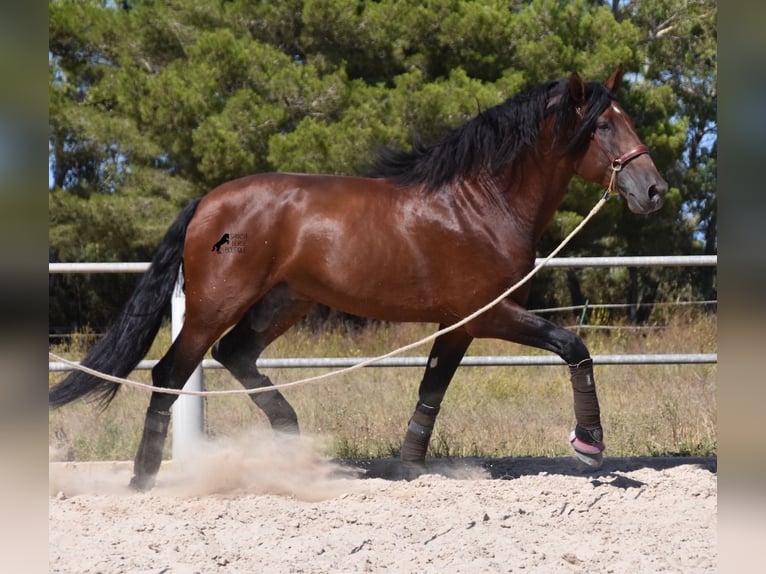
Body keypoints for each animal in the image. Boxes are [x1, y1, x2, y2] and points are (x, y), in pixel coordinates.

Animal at [52, 67, 664, 490]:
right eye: (603, 125)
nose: (655, 190)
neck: (481, 202)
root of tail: (207, 202)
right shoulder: (490, 313)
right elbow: (574, 345)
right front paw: (589, 444)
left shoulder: (458, 324)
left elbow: (430, 392)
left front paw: (409, 469)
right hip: (215, 305)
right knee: (170, 372)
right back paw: (144, 478)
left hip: (283, 301)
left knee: (236, 355)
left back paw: (293, 448)